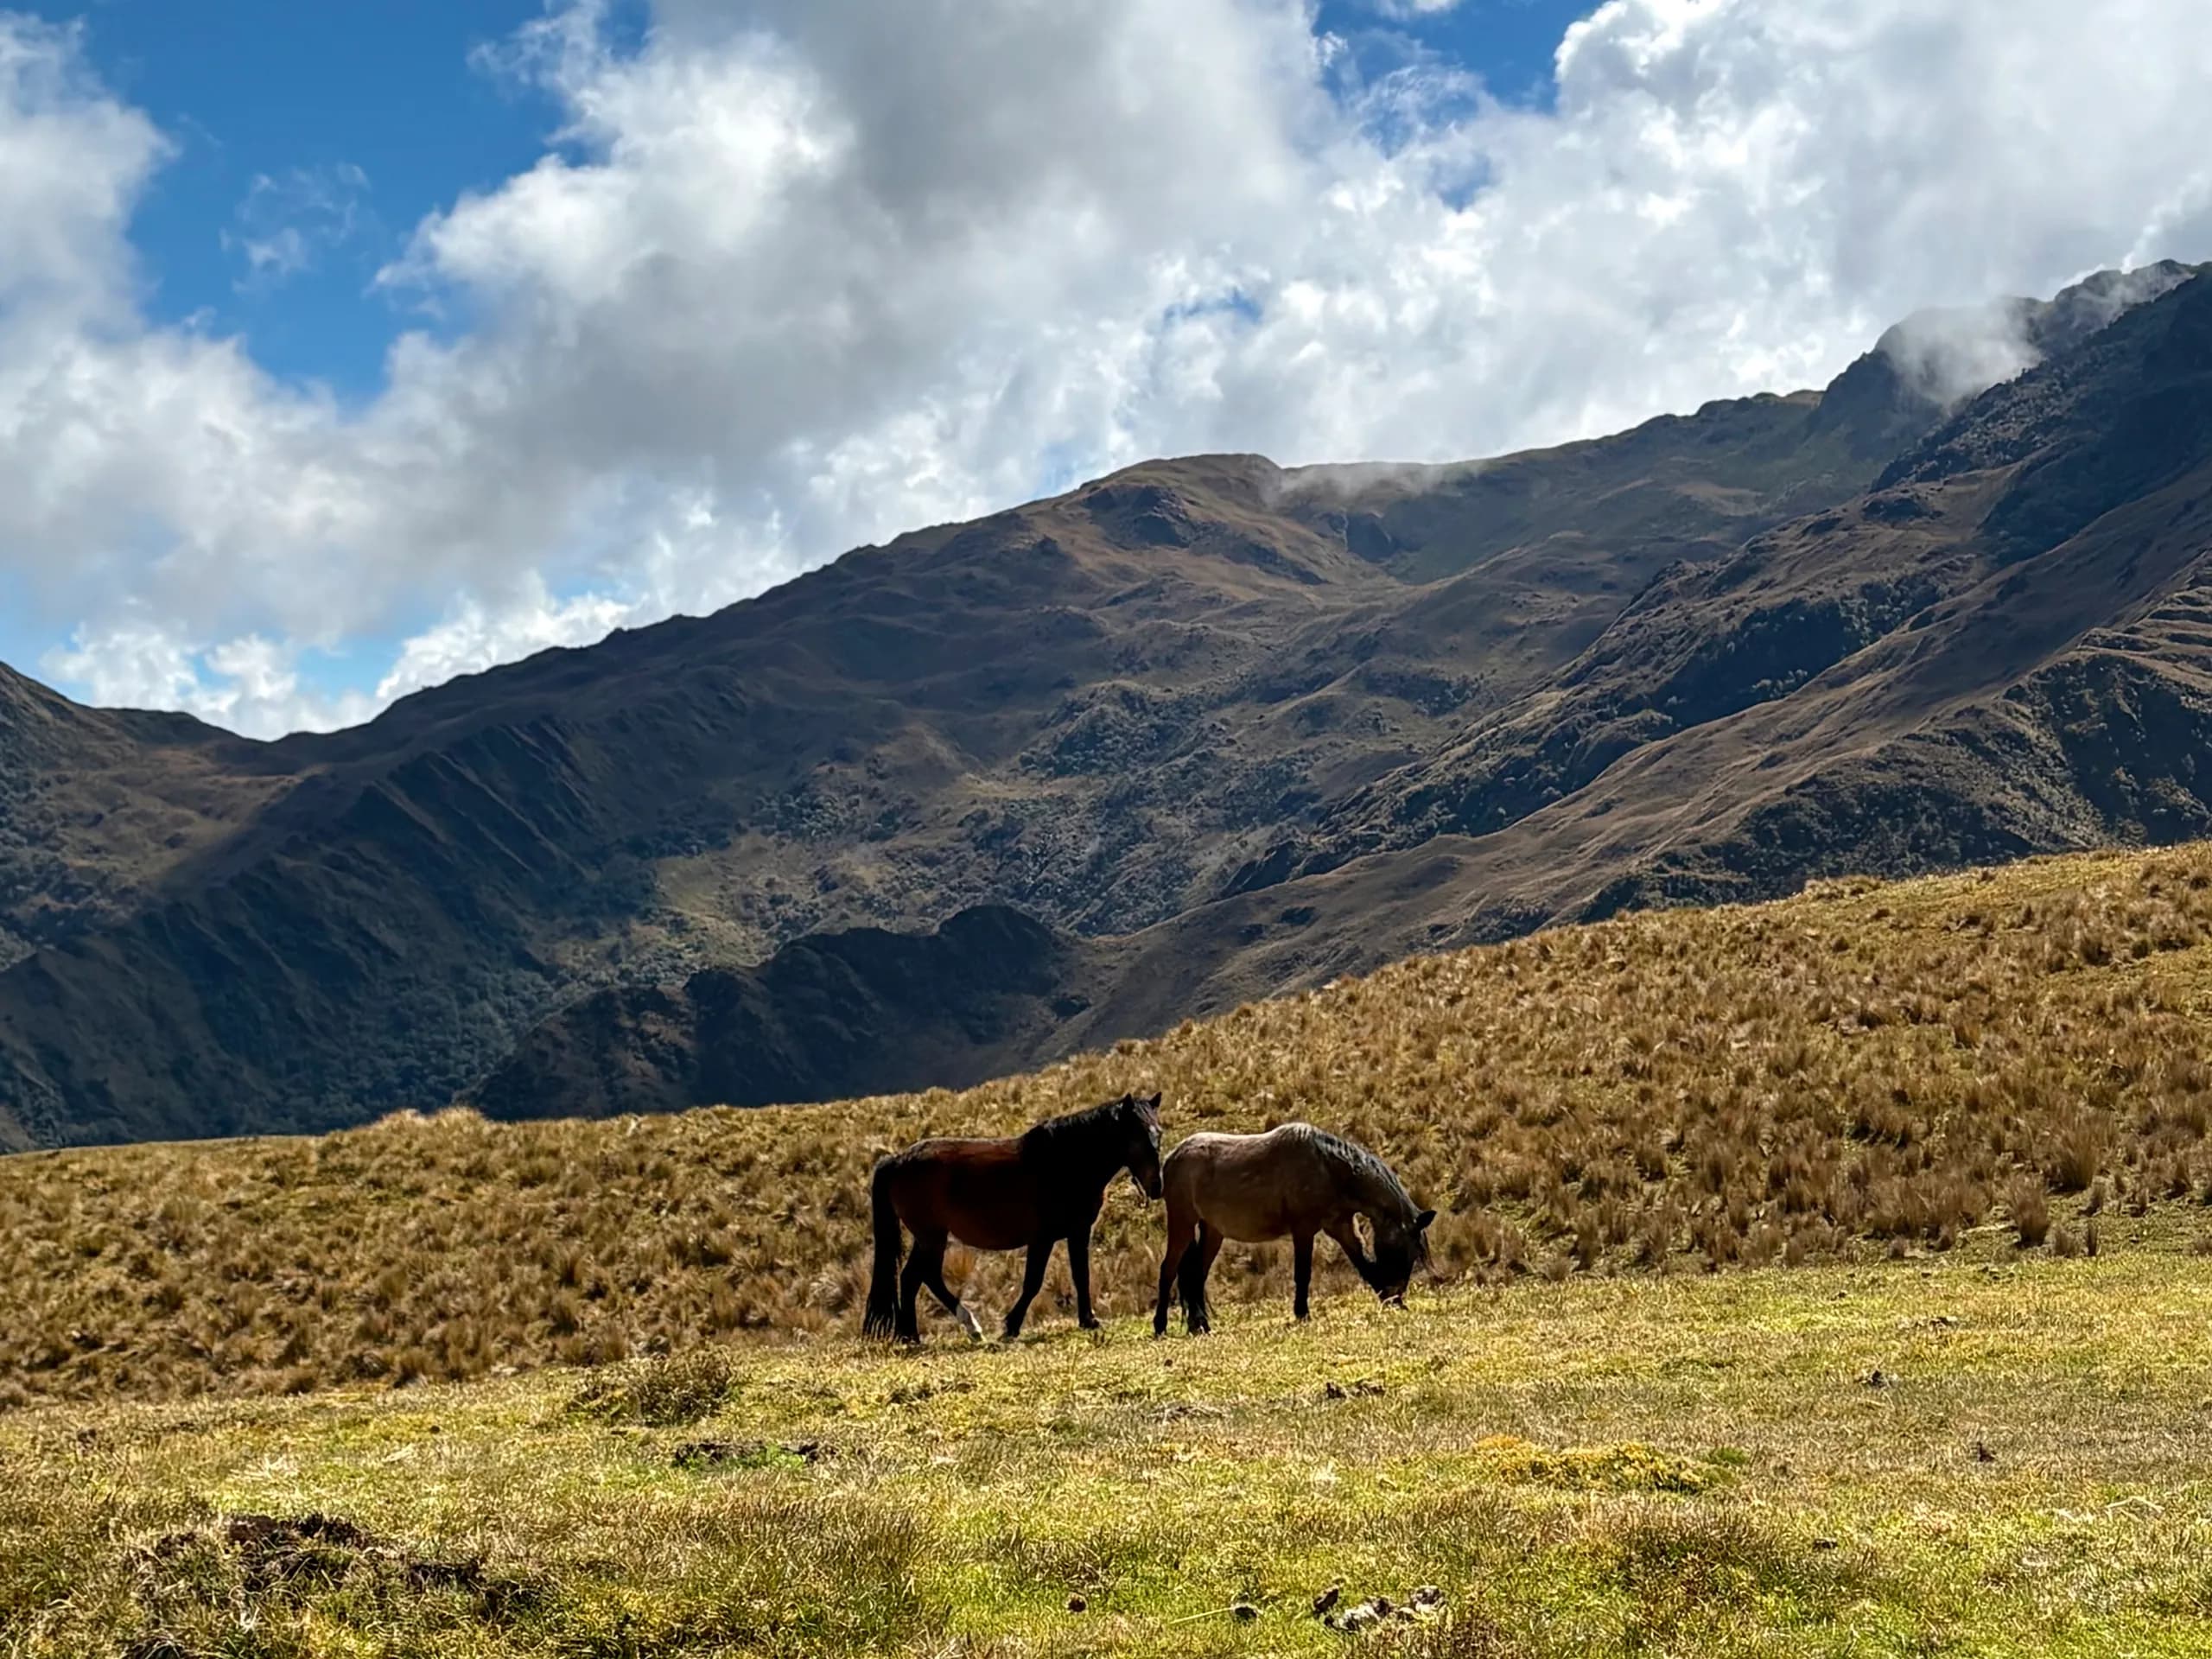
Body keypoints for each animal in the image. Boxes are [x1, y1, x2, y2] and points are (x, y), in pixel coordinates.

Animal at [863, 1091, 1164, 1344]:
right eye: (1137, 1135)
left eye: (1158, 1134)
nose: (1157, 1187)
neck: (1065, 1163)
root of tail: (898, 1160)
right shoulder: (1042, 1239)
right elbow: (1033, 1282)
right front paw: (1011, 1326)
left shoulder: (1078, 1232)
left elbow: (1081, 1275)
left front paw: (1088, 1320)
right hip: (931, 1237)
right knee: (920, 1276)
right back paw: (947, 1330)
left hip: (928, 1237)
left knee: (916, 1278)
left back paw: (921, 1334)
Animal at [1153, 1122, 1434, 1335]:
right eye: (1402, 1249)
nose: (1397, 1292)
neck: (1328, 1169)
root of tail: (1172, 1158)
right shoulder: (1304, 1230)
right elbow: (1303, 1274)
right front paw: (1302, 1313)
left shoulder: (1341, 1226)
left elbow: (1363, 1263)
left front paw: (1390, 1302)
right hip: (1183, 1222)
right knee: (1169, 1270)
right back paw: (1161, 1326)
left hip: (1212, 1230)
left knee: (1196, 1275)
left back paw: (1200, 1325)